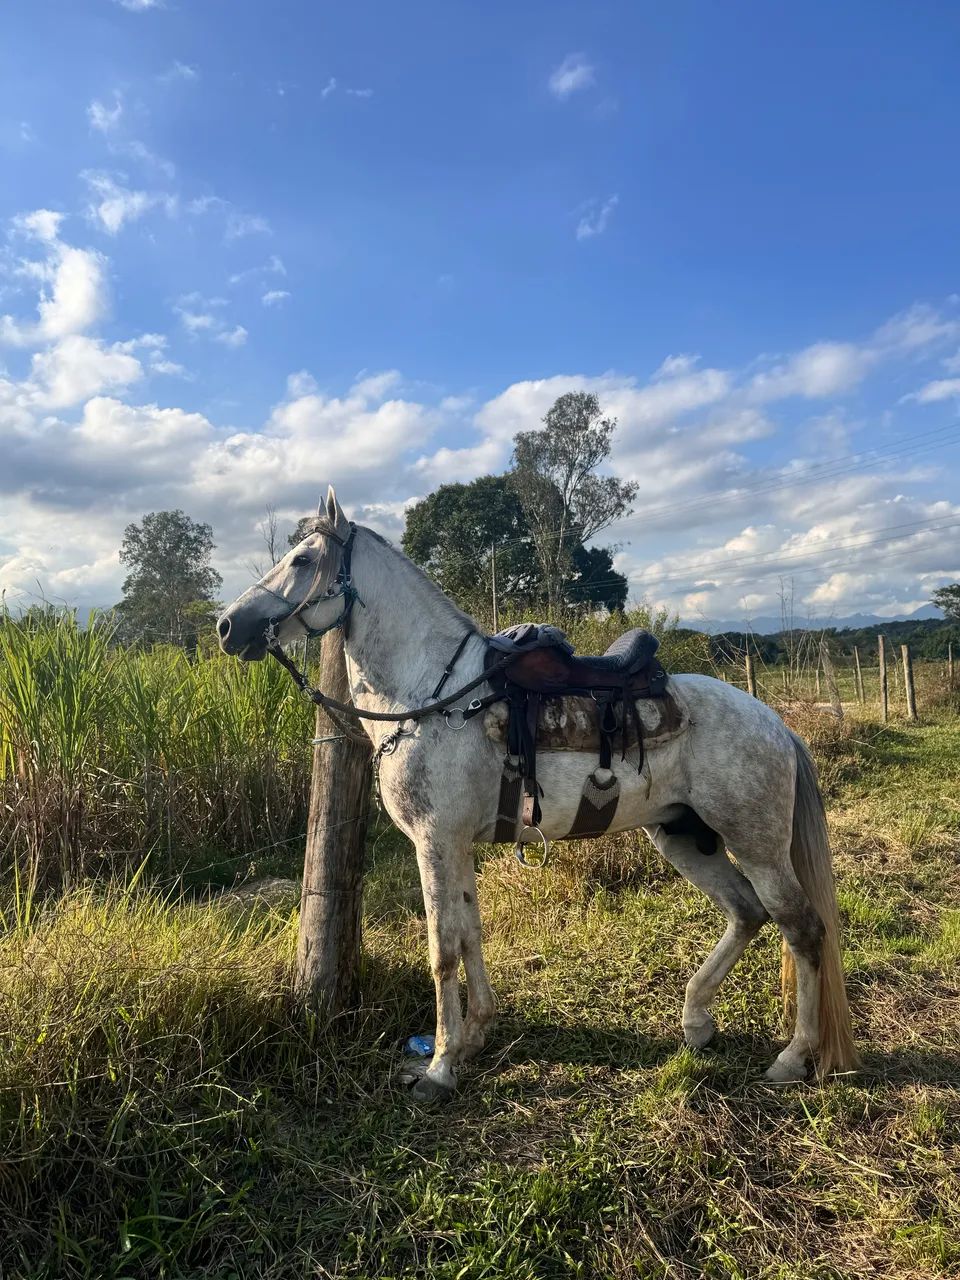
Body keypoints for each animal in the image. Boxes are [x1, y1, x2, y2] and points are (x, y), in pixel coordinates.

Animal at [217, 487, 858, 1101]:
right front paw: (473, 1038)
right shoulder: (456, 845)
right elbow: (470, 935)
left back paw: (792, 1058)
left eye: (303, 560)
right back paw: (696, 1021)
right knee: (747, 913)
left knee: (802, 928)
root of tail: (776, 723)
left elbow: (442, 950)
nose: (227, 626)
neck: (435, 696)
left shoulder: (434, 842)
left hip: (757, 845)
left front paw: (440, 1069)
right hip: (683, 836)